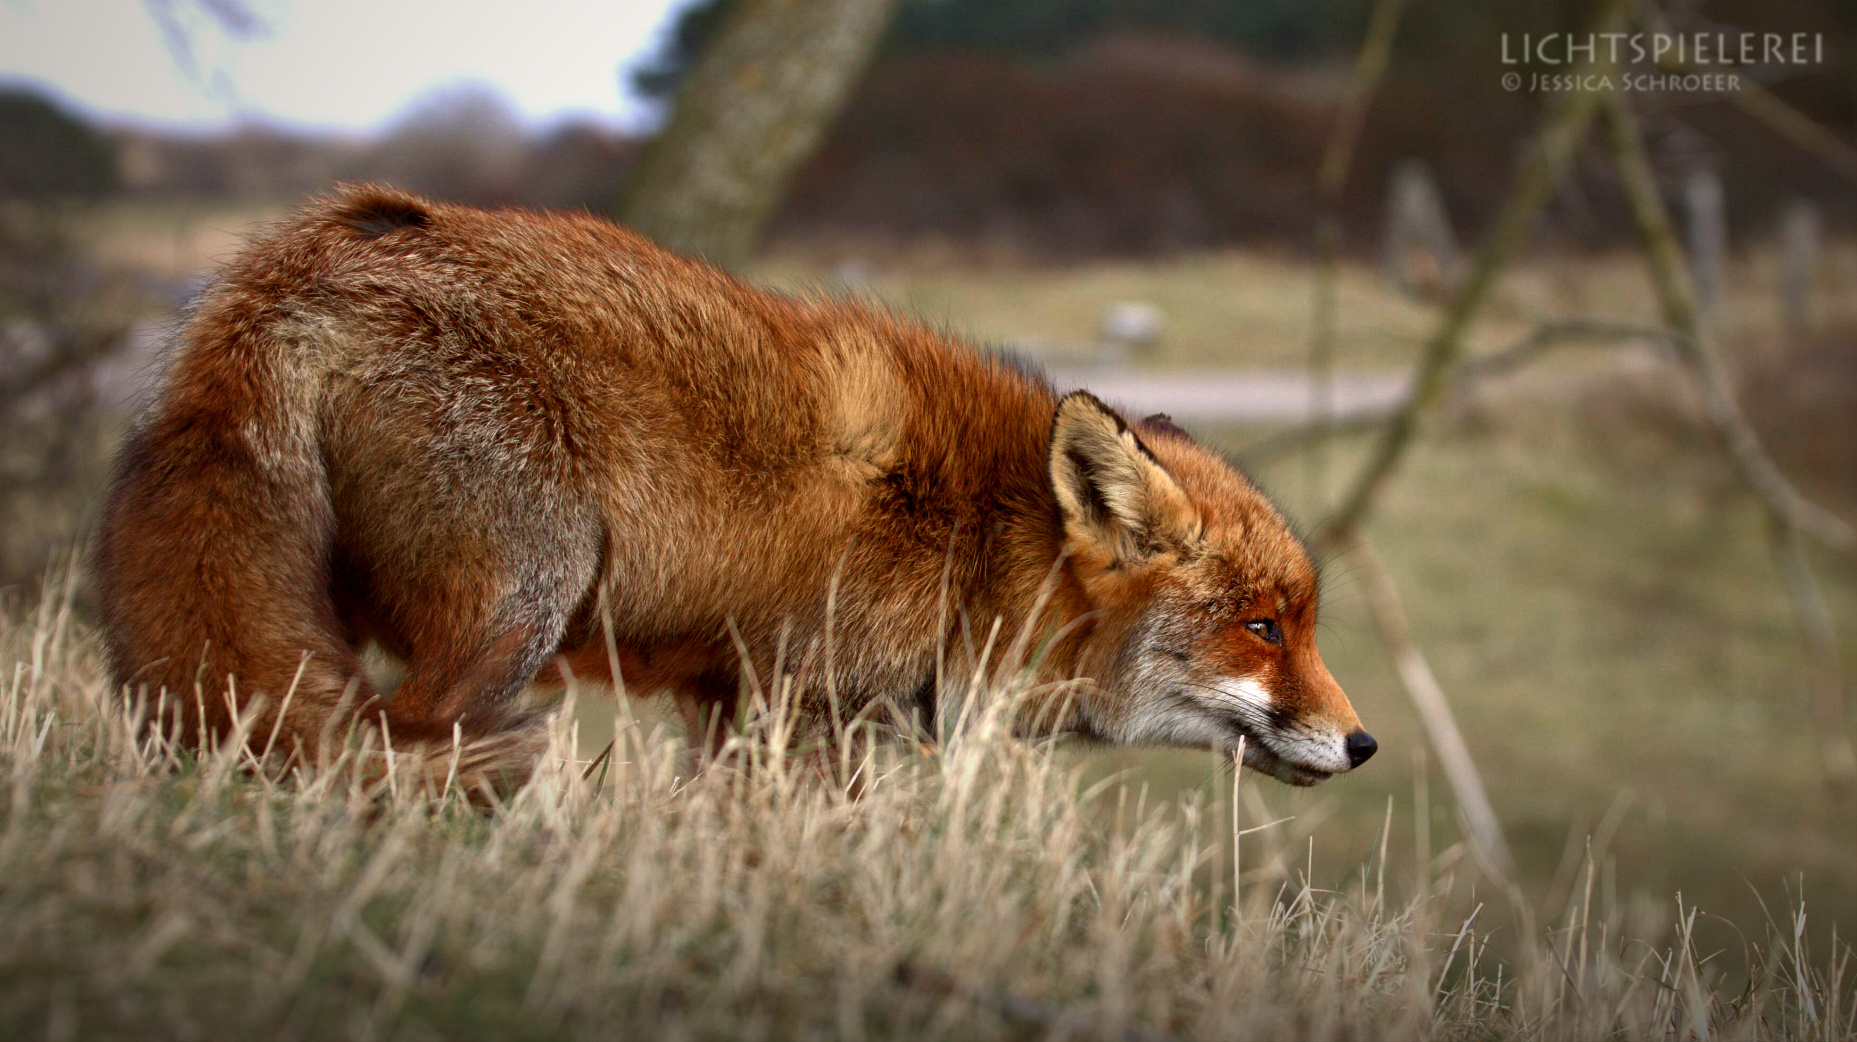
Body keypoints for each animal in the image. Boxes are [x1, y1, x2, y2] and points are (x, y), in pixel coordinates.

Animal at [97, 186, 1381, 787]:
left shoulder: (729, 704)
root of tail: (311, 250)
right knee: (395, 738)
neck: (980, 541)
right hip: (521, 607)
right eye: (1265, 628)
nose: (1365, 743)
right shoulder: (805, 708)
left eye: (1300, 624)